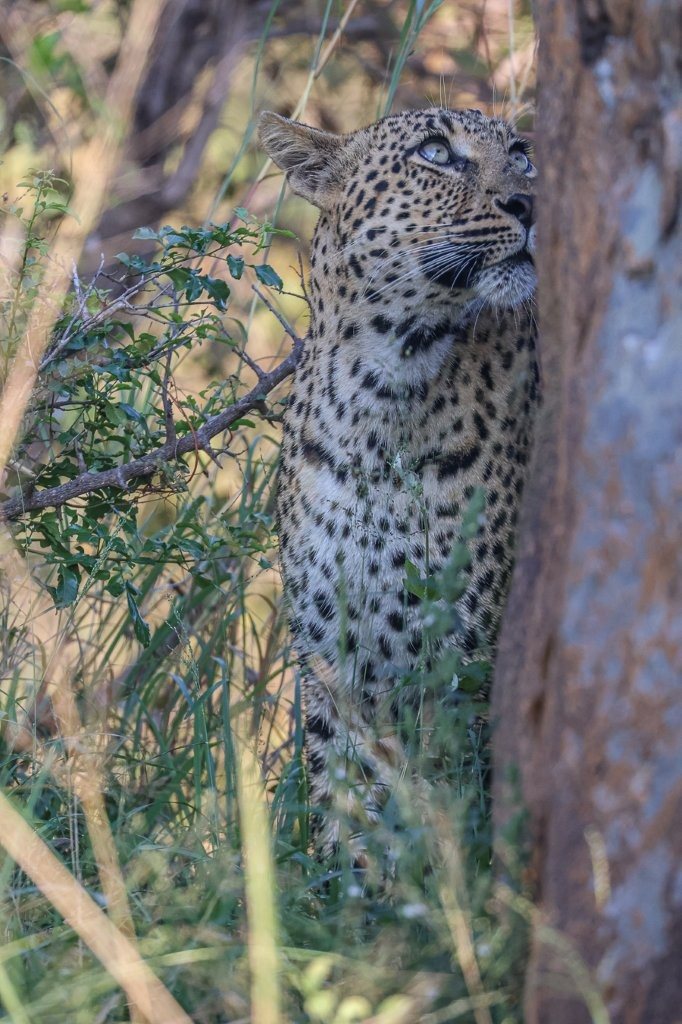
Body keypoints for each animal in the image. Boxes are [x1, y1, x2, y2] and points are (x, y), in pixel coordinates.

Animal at [258, 105, 540, 861]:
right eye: (436, 153)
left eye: (523, 156)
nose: (529, 203)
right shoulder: (332, 665)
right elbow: (344, 808)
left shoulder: (466, 663)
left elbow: (451, 809)